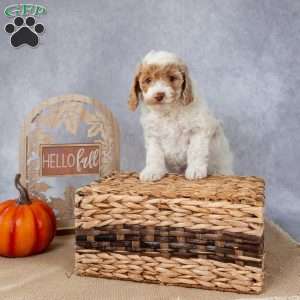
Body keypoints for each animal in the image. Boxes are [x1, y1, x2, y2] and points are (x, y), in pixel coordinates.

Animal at [127, 49, 233, 180]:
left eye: (172, 78)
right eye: (148, 80)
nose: (159, 95)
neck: (168, 111)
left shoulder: (198, 130)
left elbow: (196, 151)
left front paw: (195, 170)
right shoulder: (153, 136)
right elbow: (154, 154)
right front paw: (152, 171)